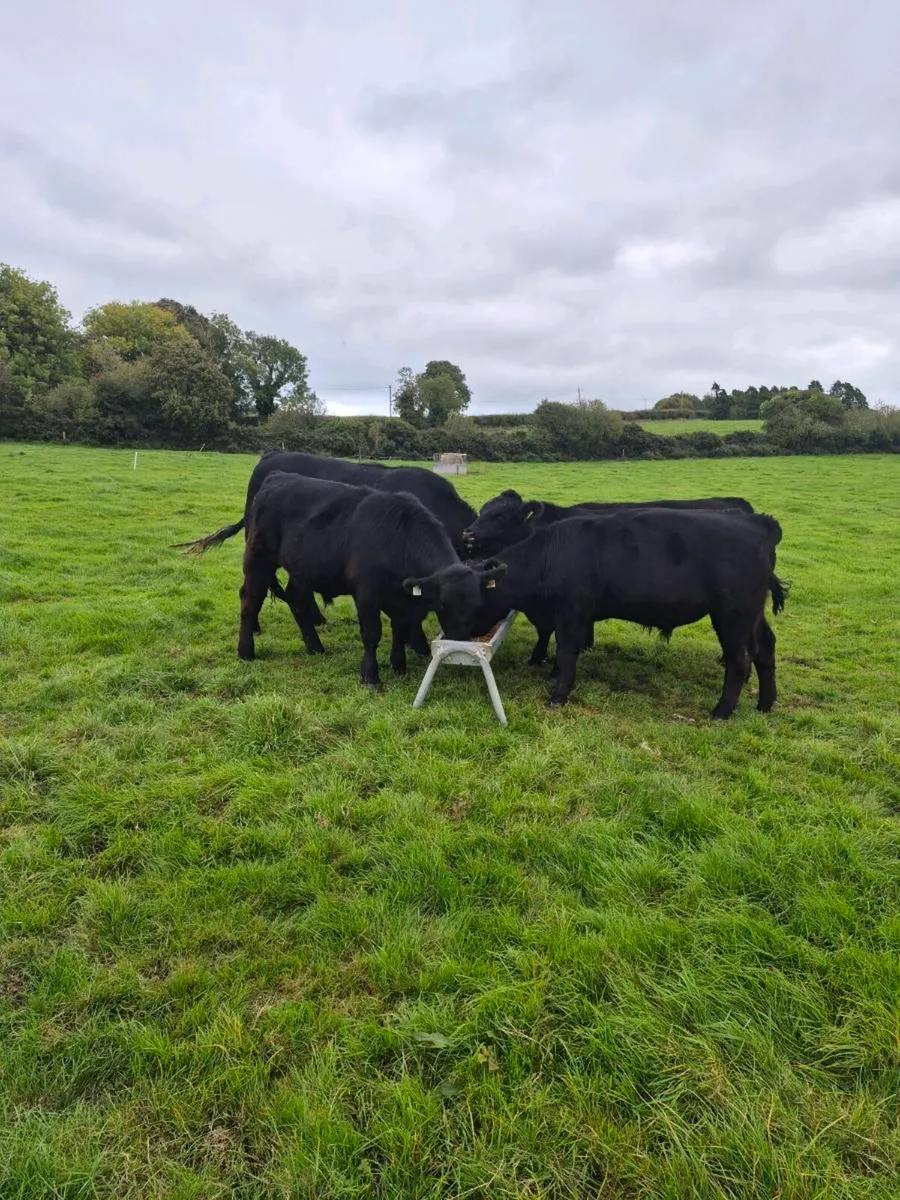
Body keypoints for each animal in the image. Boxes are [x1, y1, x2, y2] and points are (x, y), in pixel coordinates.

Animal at [237, 471, 504, 689]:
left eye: (477, 604)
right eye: (442, 605)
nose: (459, 644)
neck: (398, 537)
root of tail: (276, 478)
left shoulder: (403, 599)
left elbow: (400, 629)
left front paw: (399, 665)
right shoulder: (366, 595)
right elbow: (372, 634)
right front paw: (370, 677)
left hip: (301, 570)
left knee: (298, 601)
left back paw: (315, 647)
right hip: (259, 560)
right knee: (250, 602)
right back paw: (245, 652)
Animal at [462, 490, 756, 666]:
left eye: (500, 516)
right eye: (483, 510)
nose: (468, 534)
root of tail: (736, 505)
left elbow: (547, 630)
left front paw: (540, 657)